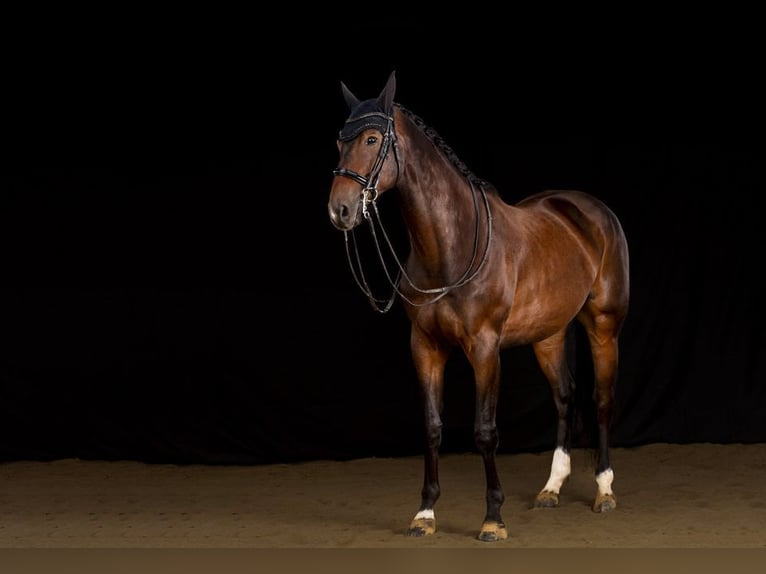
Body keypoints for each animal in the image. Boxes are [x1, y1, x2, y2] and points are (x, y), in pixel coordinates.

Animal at [327, 71, 630, 542]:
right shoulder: (425, 347)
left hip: (603, 325)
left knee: (601, 399)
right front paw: (425, 514)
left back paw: (604, 490)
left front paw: (493, 519)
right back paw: (551, 488)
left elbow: (485, 431)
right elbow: (432, 427)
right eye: (340, 140)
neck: (450, 244)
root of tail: (592, 211)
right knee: (564, 396)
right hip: (549, 334)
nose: (339, 210)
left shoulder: (484, 349)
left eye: (373, 139)